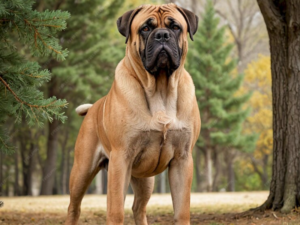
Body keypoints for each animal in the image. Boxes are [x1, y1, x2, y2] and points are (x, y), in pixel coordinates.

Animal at [66, 3, 202, 225]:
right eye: (145, 28)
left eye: (175, 27)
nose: (162, 35)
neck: (160, 89)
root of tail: (93, 107)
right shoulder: (121, 158)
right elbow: (115, 211)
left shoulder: (182, 159)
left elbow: (182, 210)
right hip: (82, 170)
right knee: (74, 207)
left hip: (145, 179)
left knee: (139, 208)